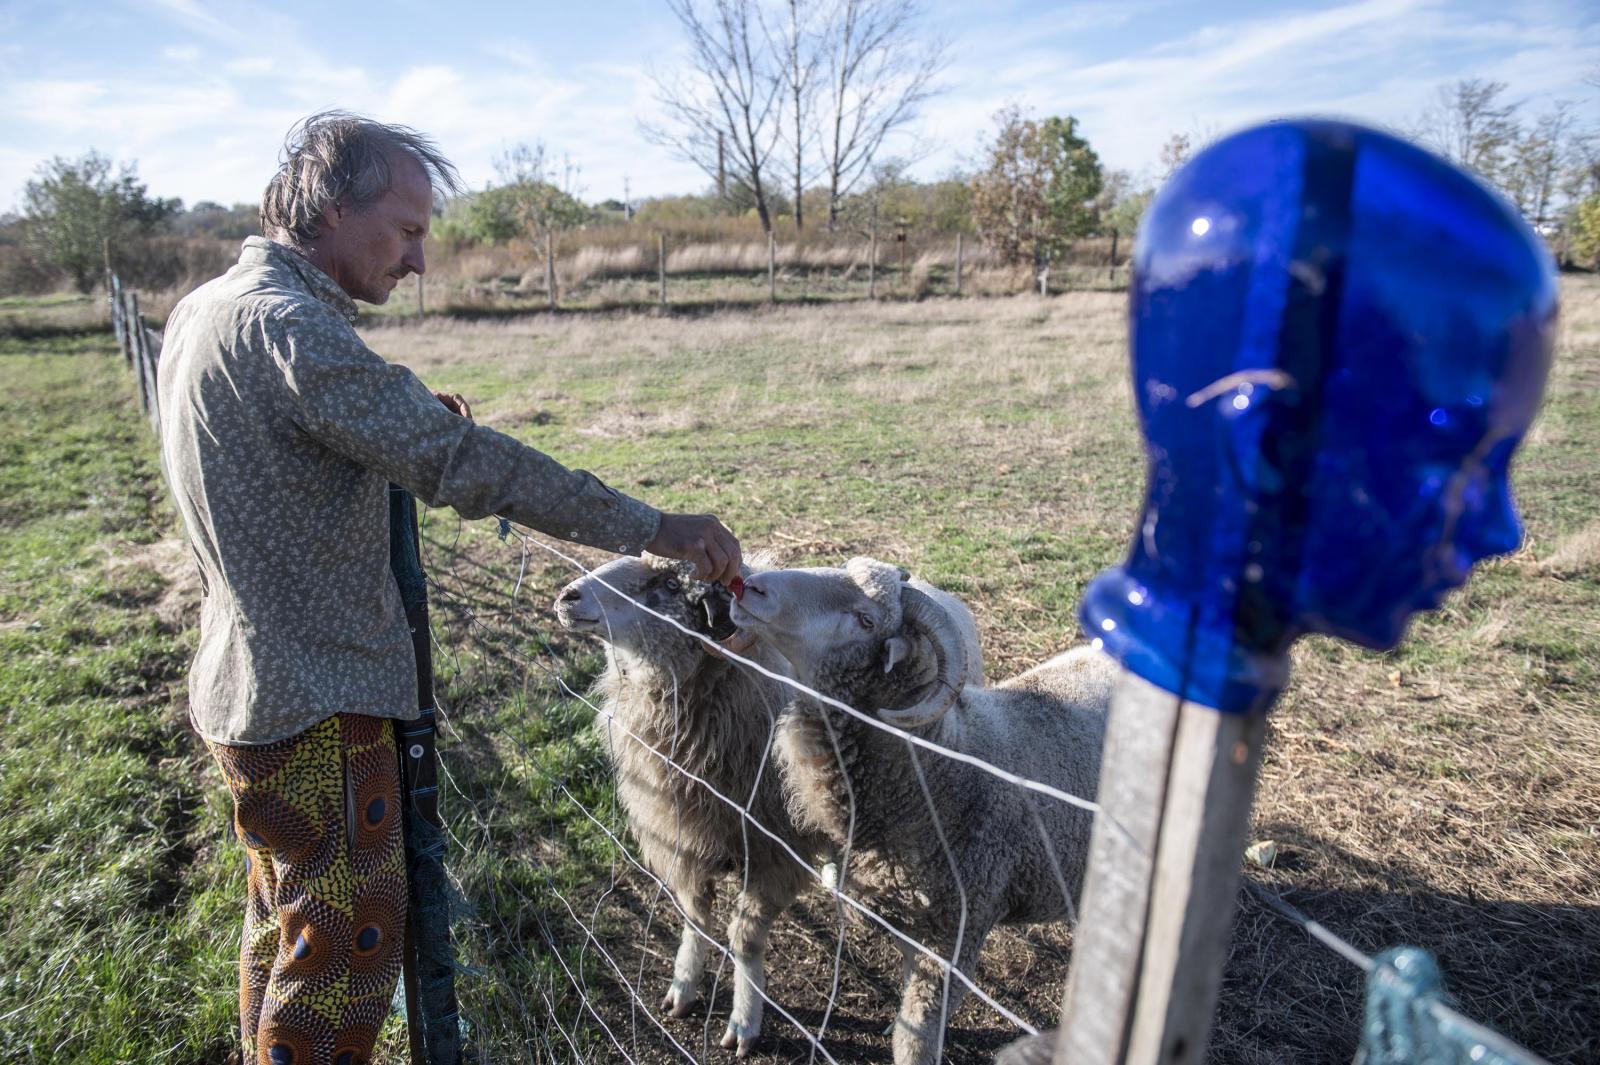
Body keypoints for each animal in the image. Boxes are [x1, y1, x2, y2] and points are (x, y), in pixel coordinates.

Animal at [729, 556, 1113, 1061]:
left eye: (866, 620)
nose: (749, 586)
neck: (935, 770)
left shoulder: (958, 933)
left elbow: (915, 1037)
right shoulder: (912, 918)